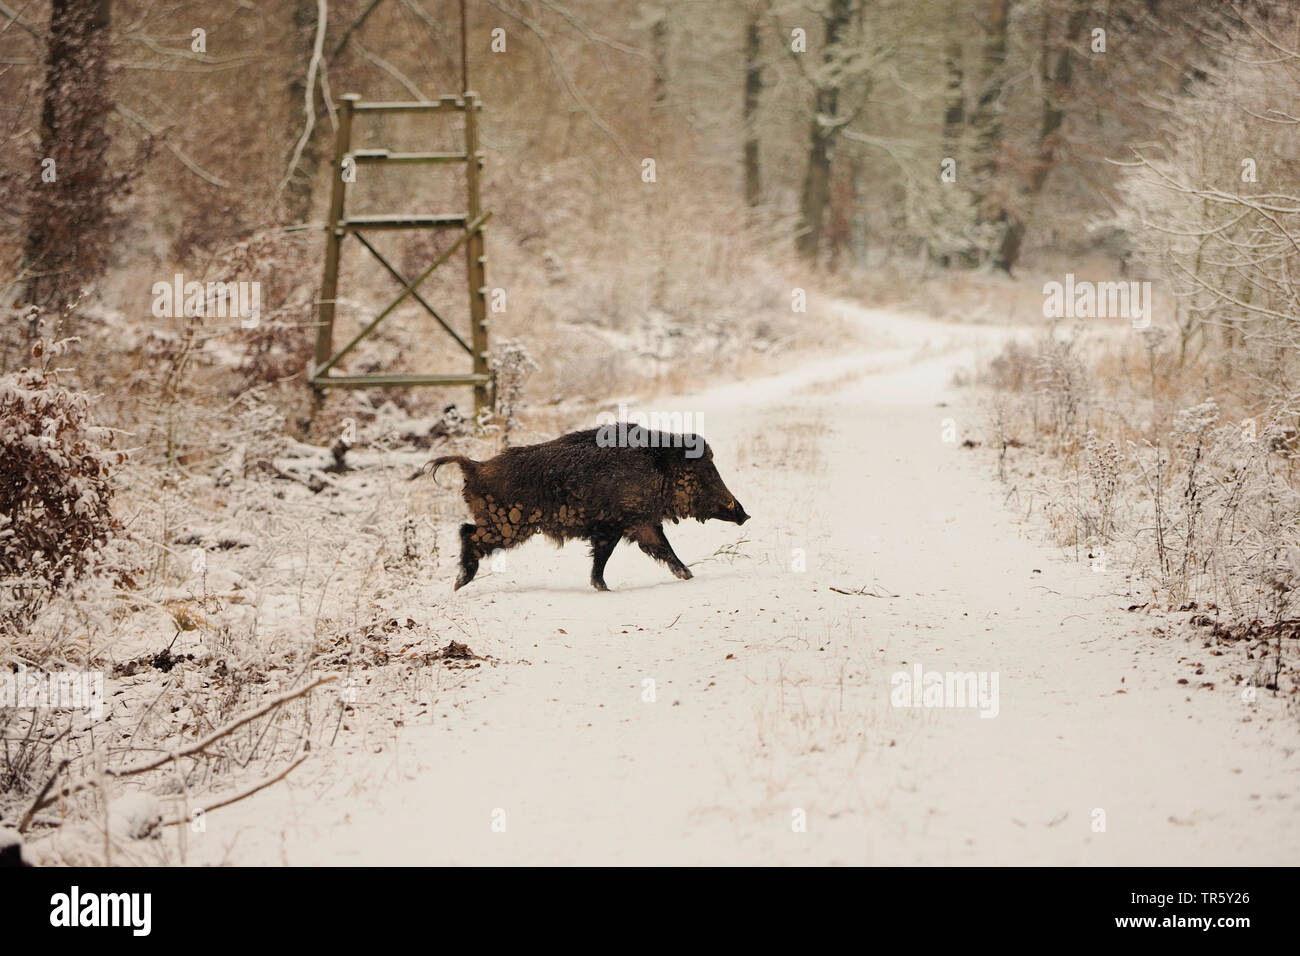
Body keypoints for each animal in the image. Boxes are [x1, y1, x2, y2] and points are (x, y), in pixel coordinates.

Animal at [427, 426, 749, 591]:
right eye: (704, 472)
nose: (745, 514)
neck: (658, 470)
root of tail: (474, 467)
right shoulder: (620, 524)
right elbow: (608, 557)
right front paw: (603, 588)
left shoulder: (635, 524)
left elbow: (661, 550)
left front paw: (689, 577)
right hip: (507, 525)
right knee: (468, 534)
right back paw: (459, 584)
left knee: (467, 531)